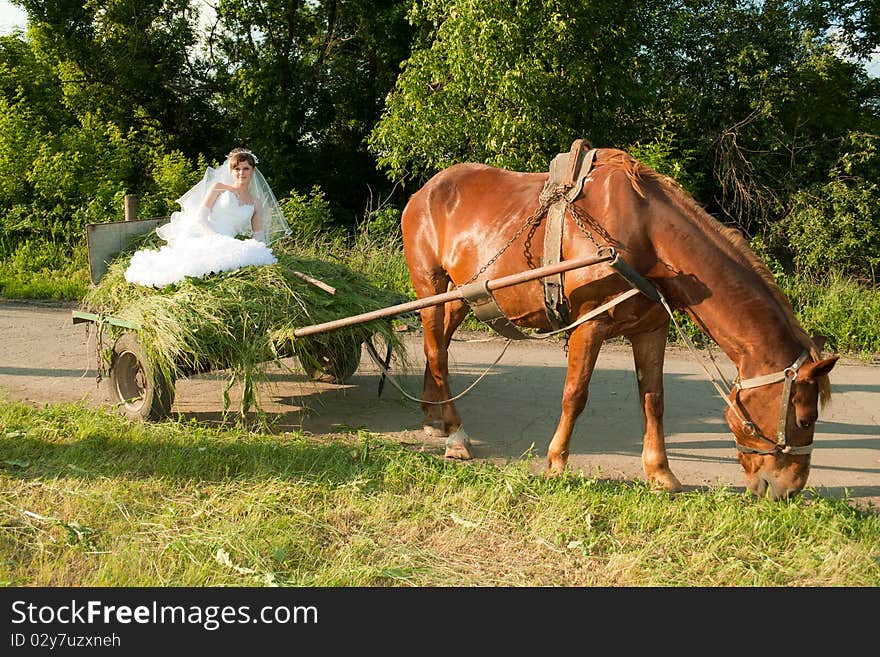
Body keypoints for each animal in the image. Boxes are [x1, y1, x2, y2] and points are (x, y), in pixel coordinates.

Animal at [398, 146, 840, 500]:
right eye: (805, 419)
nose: (788, 490)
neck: (647, 236)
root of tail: (425, 191)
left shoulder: (651, 329)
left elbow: (654, 399)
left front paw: (661, 472)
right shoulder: (590, 324)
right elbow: (575, 394)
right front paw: (556, 462)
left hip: (464, 294)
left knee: (437, 345)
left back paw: (433, 416)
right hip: (430, 283)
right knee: (437, 349)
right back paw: (456, 434)